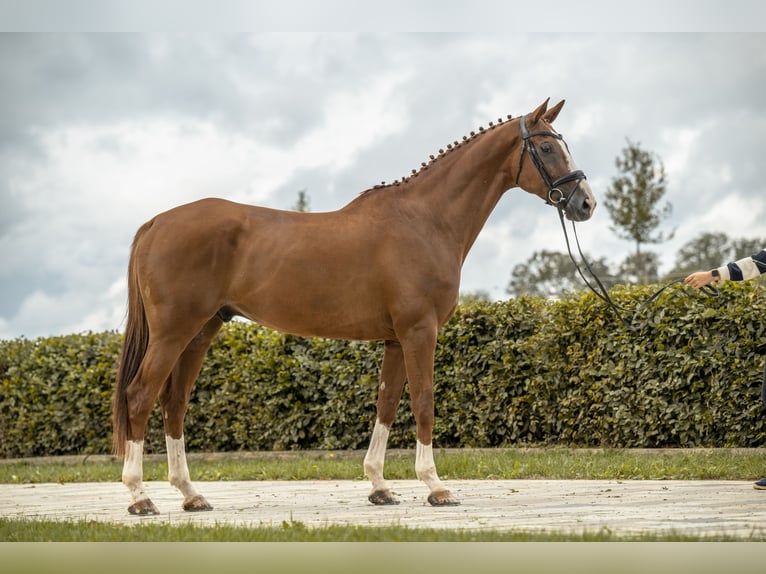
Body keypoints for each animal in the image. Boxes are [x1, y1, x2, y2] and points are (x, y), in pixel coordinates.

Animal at [111, 97, 596, 516]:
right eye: (548, 147)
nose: (585, 203)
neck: (425, 220)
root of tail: (156, 223)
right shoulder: (420, 331)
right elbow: (423, 400)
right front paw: (436, 486)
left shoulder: (396, 340)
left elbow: (386, 404)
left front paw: (380, 487)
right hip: (174, 332)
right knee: (140, 396)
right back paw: (140, 497)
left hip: (201, 331)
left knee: (174, 403)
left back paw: (190, 495)